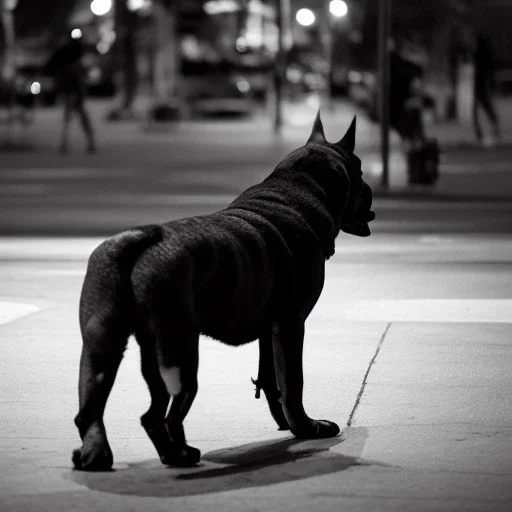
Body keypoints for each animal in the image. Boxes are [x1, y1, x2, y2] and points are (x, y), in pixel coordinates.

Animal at [72, 113, 374, 472]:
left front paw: (284, 422)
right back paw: (179, 455)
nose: (370, 189)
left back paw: (104, 455)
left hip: (107, 346)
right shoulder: (291, 324)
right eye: (359, 172)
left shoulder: (269, 330)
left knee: (100, 410)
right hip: (180, 351)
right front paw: (306, 427)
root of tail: (144, 240)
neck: (296, 190)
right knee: (168, 413)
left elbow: (271, 379)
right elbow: (293, 383)